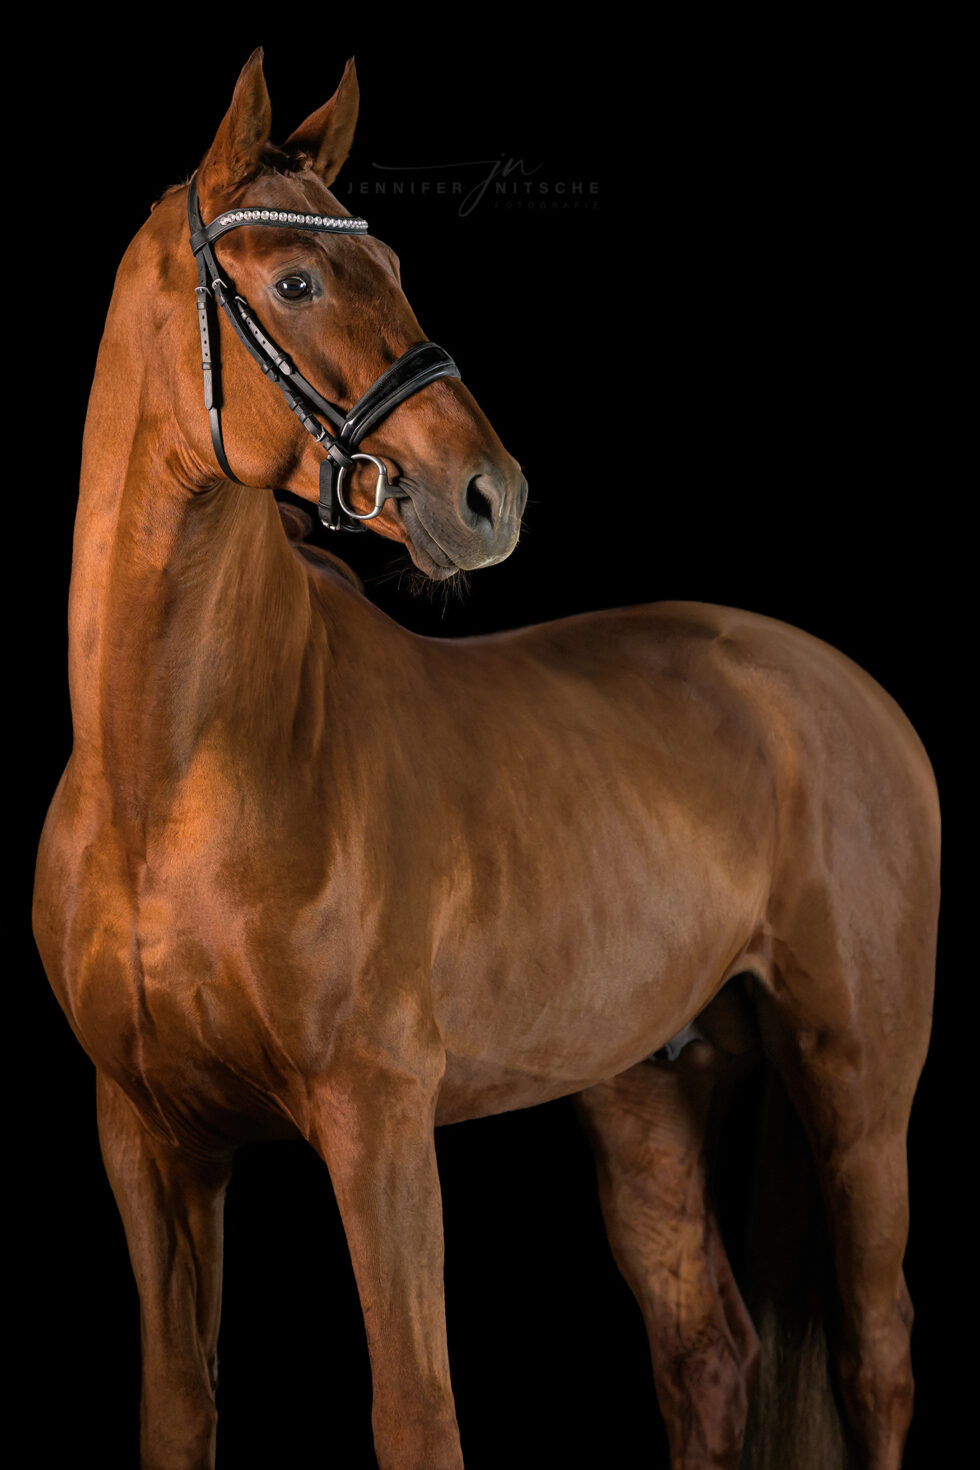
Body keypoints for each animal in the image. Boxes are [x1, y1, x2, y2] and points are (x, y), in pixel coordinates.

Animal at [32, 49, 940, 1470]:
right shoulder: (149, 1137)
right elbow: (179, 1412)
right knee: (708, 1354)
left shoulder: (379, 1124)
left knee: (874, 1355)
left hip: (856, 1082)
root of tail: (841, 690)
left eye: (395, 261)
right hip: (645, 1092)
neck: (173, 773)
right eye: (295, 281)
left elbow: (416, 1415)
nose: (486, 497)